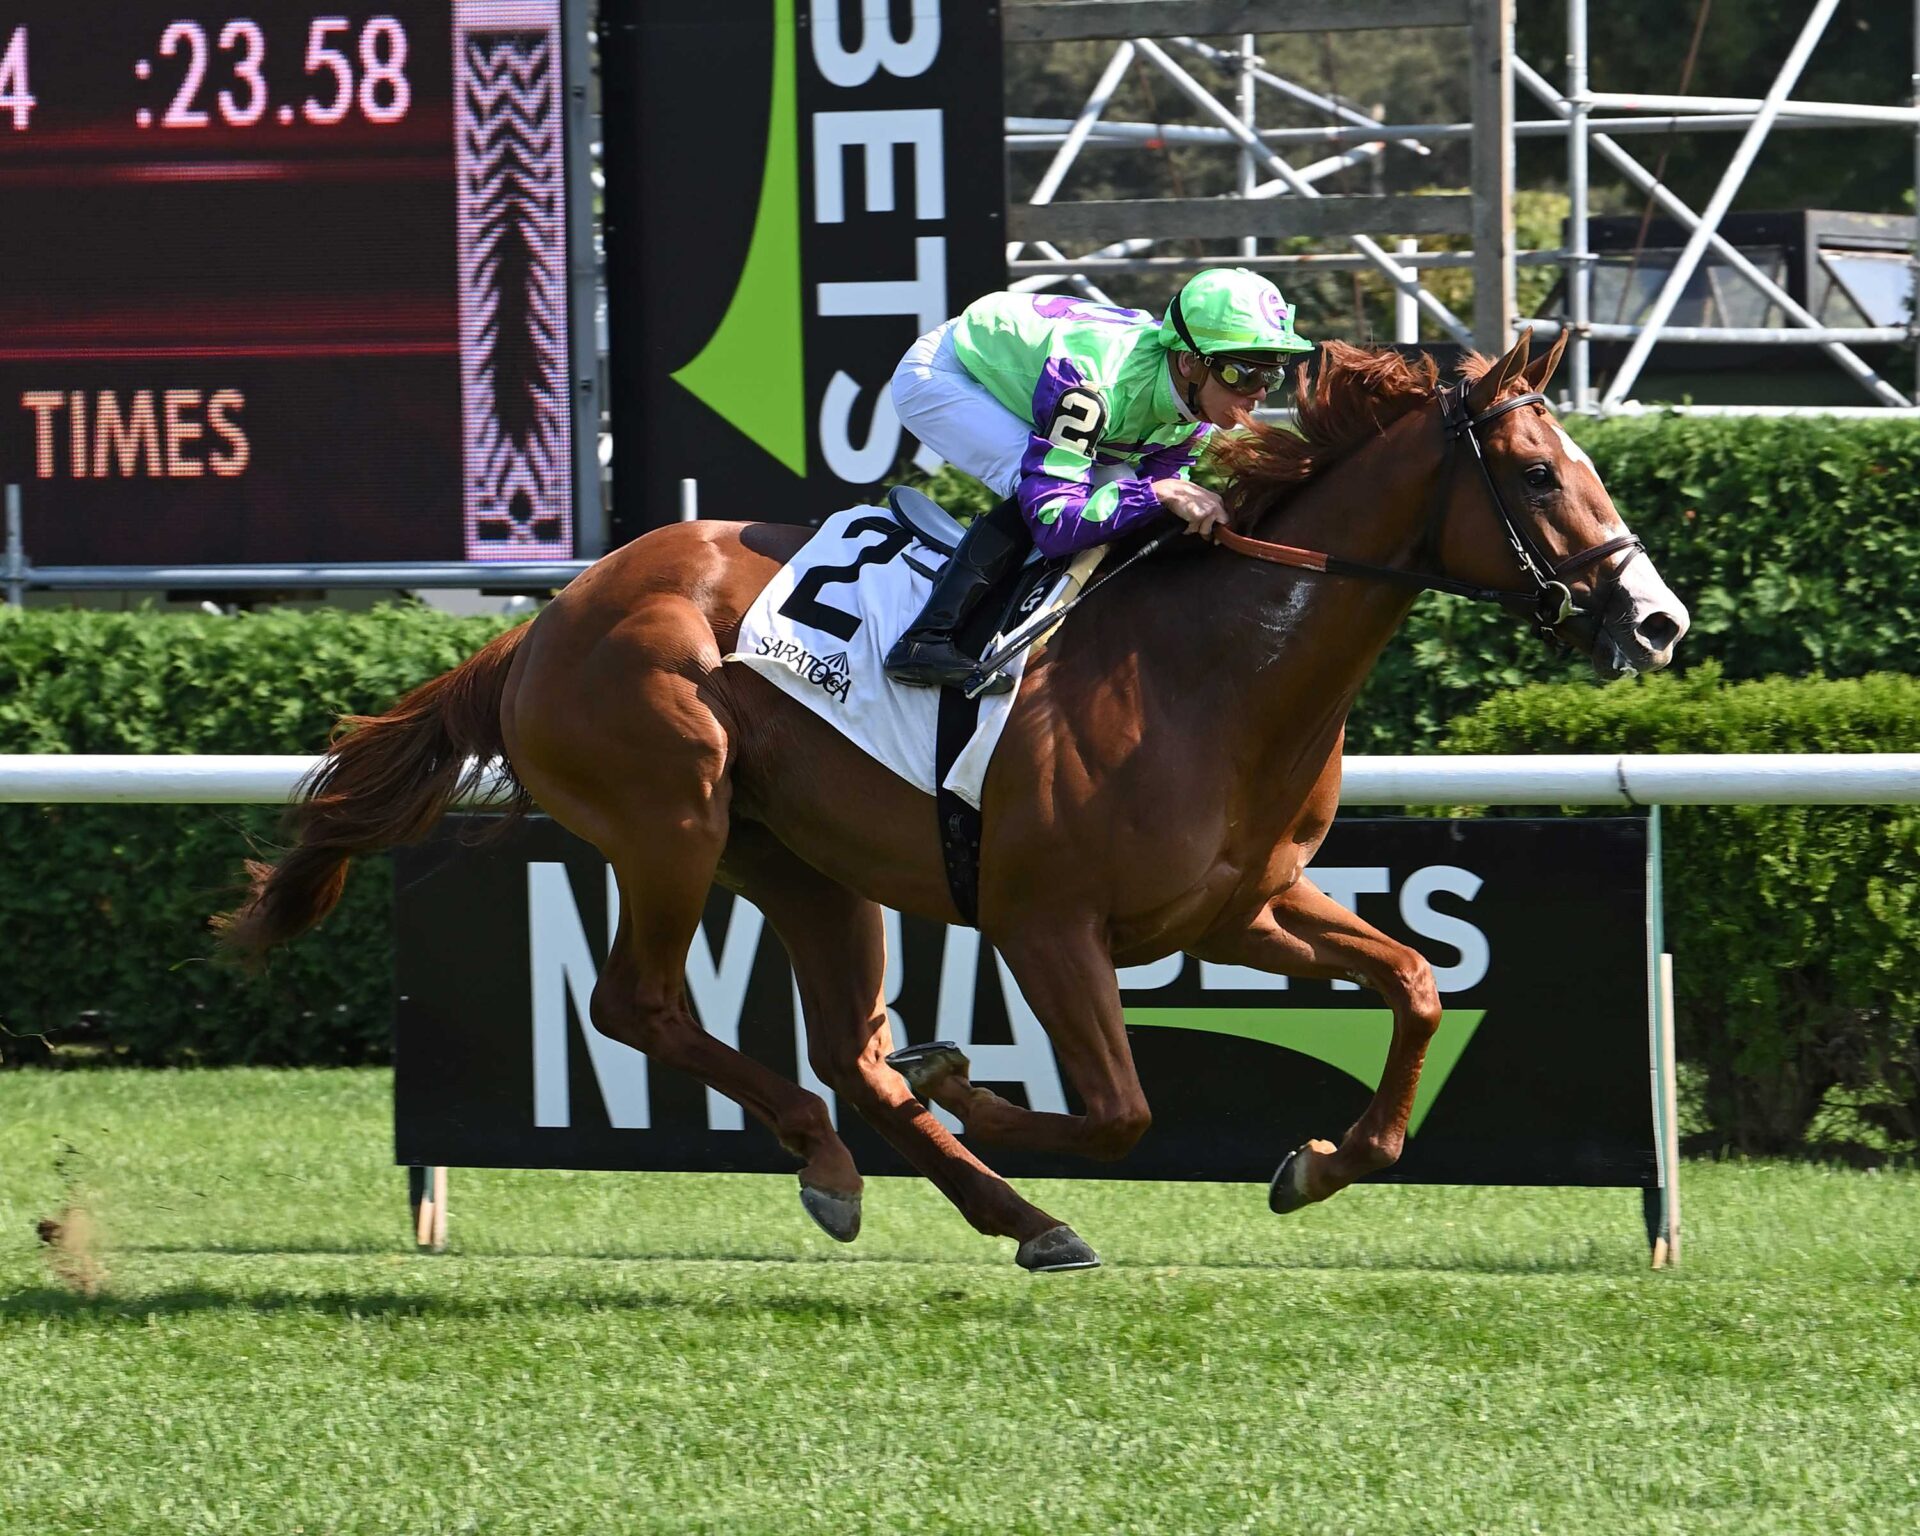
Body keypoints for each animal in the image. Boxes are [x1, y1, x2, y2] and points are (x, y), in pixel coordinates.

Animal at [216, 328, 1689, 1271]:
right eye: (1544, 474)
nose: (1658, 620)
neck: (1216, 669)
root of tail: (544, 621)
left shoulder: (1242, 909)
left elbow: (1419, 984)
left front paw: (1322, 1161)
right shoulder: (1049, 925)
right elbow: (1120, 1110)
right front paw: (973, 1078)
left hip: (800, 863)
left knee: (849, 1053)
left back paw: (995, 1210)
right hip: (673, 818)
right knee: (644, 1007)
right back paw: (845, 1164)